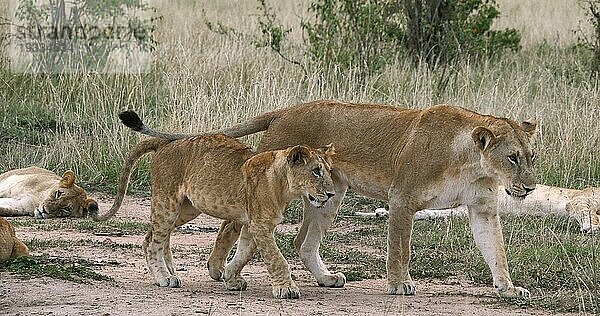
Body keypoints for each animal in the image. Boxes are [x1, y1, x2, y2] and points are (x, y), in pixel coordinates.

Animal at [95, 111, 338, 298]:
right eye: (316, 171)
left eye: (328, 170)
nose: (331, 193)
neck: (283, 185)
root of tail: (166, 142)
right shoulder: (260, 225)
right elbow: (276, 259)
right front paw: (286, 289)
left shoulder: (253, 224)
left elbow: (243, 254)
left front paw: (231, 278)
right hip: (167, 203)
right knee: (154, 242)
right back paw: (164, 277)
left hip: (186, 209)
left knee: (152, 237)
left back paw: (170, 273)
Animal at [125, 99, 536, 298]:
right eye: (513, 157)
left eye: (531, 156)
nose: (531, 187)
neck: (472, 163)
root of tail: (286, 110)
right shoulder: (402, 197)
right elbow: (400, 247)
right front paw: (399, 284)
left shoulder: (483, 209)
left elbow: (496, 251)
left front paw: (508, 289)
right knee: (233, 222)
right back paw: (217, 269)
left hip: (331, 193)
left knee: (300, 241)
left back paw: (320, 277)